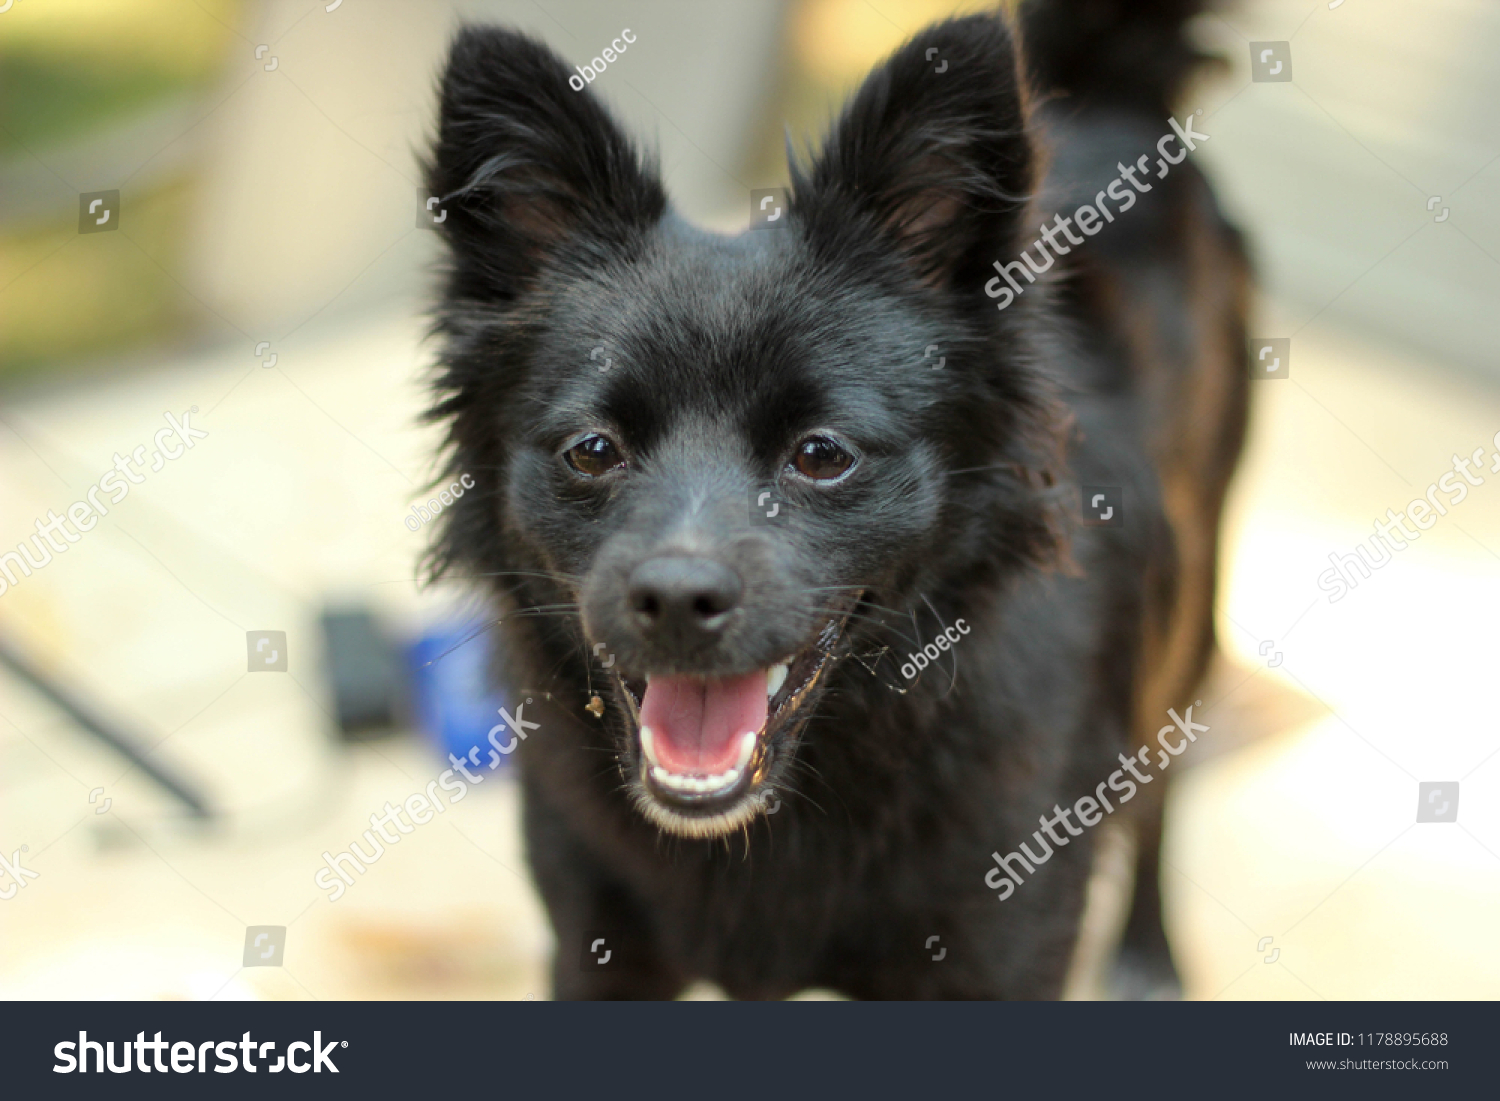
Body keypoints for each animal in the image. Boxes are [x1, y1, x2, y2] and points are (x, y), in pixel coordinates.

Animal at [420, 0, 1242, 1002]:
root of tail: (1113, 83)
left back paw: (1148, 952)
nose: (677, 600)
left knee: (1162, 785)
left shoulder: (1002, 950)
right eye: (593, 451)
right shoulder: (595, 947)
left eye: (821, 455)